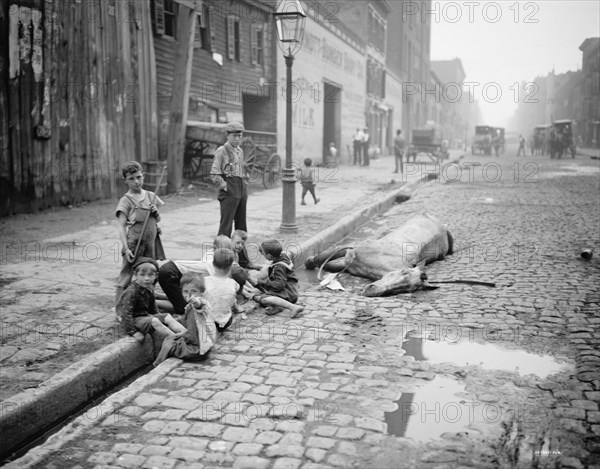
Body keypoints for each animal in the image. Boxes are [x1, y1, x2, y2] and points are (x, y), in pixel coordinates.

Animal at [308, 213, 452, 296]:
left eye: (407, 289)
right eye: (404, 272)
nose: (372, 290)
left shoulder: (348, 265)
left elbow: (328, 265)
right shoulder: (351, 249)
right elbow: (322, 258)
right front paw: (309, 261)